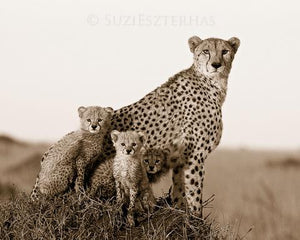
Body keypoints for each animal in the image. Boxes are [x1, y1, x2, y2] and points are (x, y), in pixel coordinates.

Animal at [99, 35, 240, 216]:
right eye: (206, 51)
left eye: (225, 51)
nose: (216, 64)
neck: (212, 83)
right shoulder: (195, 156)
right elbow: (195, 195)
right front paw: (197, 219)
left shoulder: (181, 160)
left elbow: (180, 191)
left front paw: (181, 212)